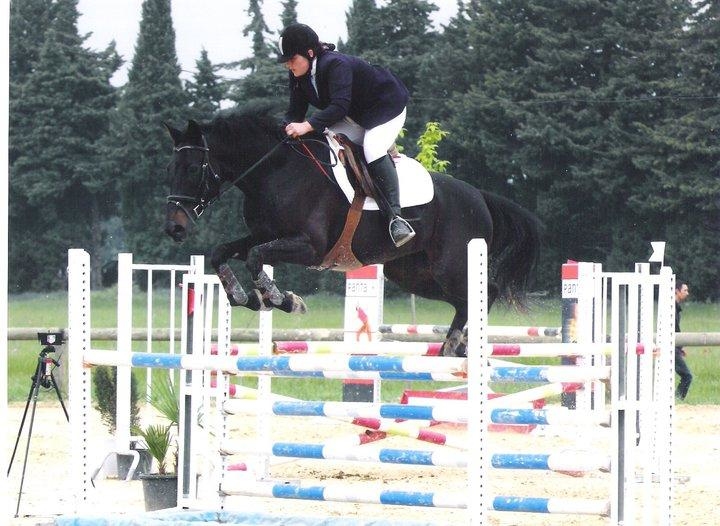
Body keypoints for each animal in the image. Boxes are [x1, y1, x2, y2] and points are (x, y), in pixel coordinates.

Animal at [163, 105, 543, 357]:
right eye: (171, 167)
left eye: (194, 168)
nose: (174, 227)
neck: (275, 172)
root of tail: (479, 196)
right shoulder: (263, 235)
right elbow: (222, 253)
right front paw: (247, 297)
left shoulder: (309, 247)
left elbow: (256, 258)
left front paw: (283, 300)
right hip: (414, 273)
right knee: (463, 300)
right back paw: (456, 345)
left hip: (450, 265)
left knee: (487, 291)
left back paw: (455, 344)